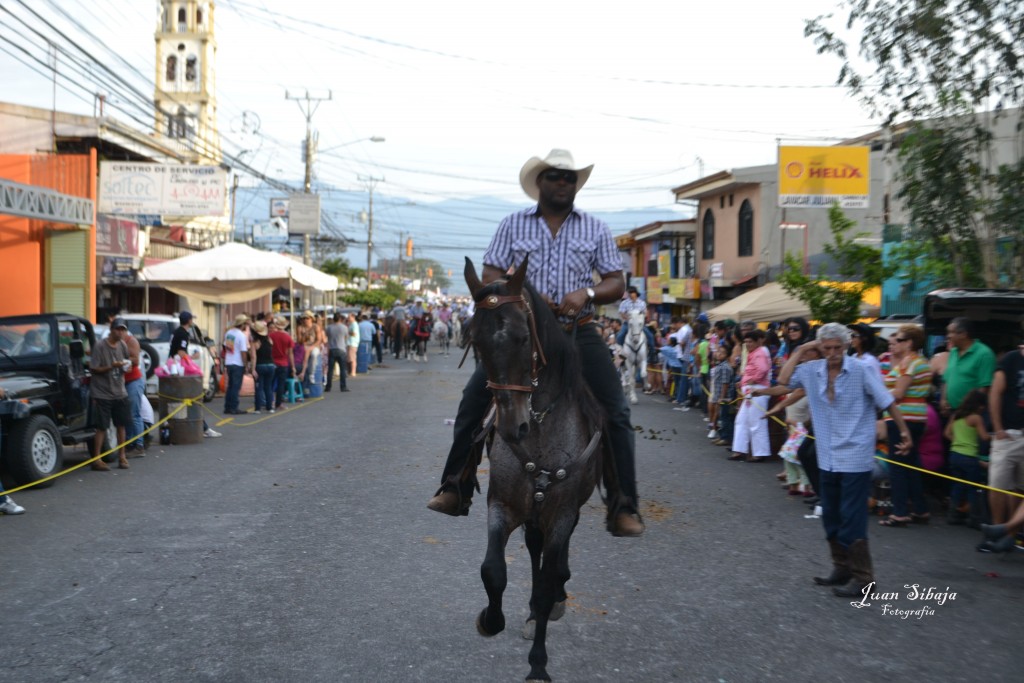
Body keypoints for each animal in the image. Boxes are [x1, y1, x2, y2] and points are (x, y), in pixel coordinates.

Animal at [462, 258, 614, 683]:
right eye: (475, 340)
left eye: (521, 337)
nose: (514, 427)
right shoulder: (502, 504)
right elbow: (493, 570)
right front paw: (491, 620)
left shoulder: (561, 512)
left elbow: (547, 583)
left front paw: (538, 665)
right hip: (533, 510)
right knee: (534, 548)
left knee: (552, 560)